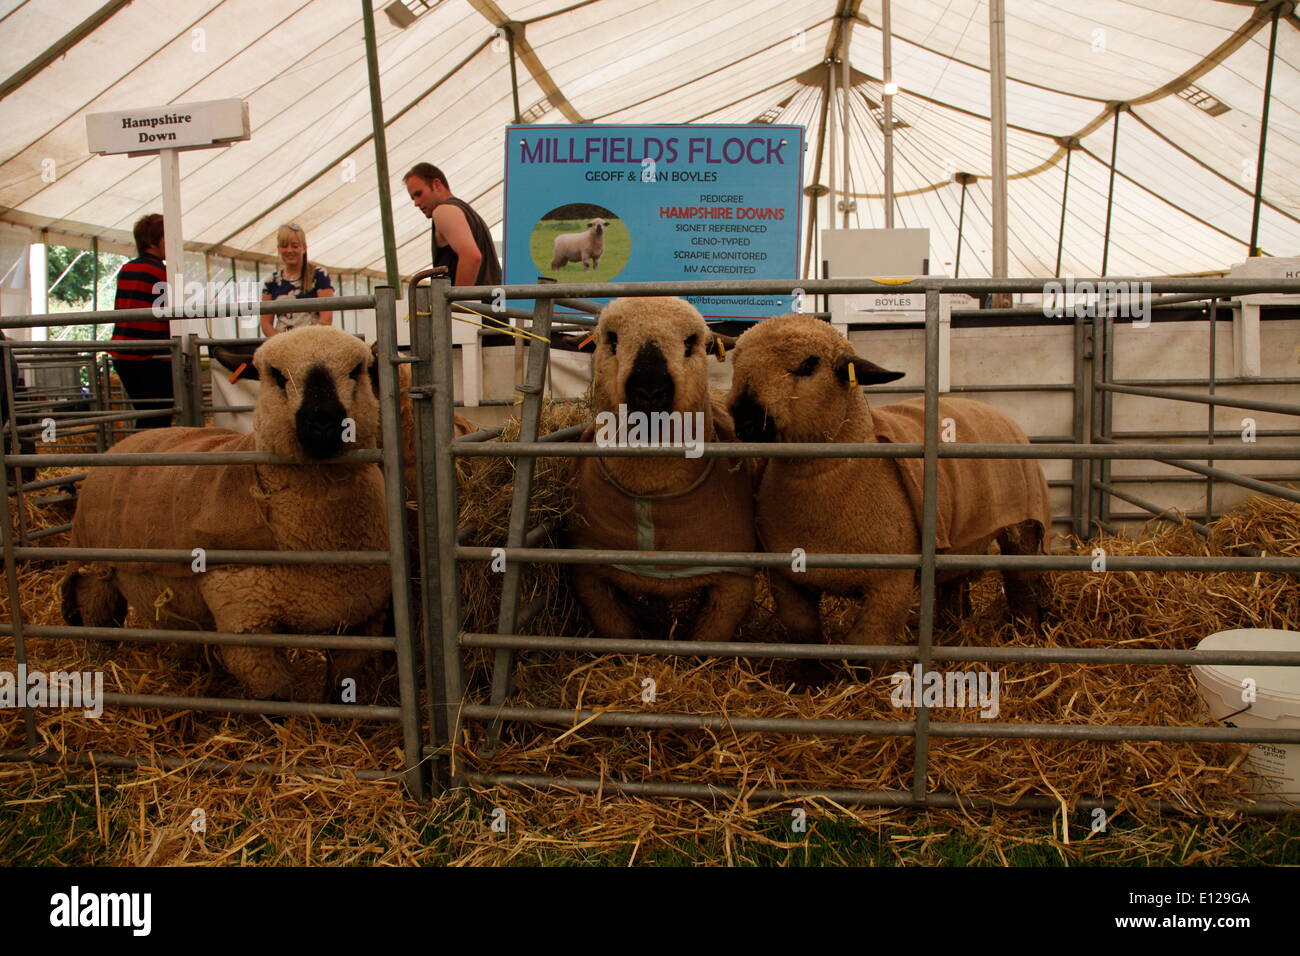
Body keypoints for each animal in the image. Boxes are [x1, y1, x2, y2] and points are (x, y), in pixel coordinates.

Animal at [61, 329, 392, 702]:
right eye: (276, 375)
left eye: (355, 371)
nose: (322, 422)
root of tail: (132, 439)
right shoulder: (245, 623)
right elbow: (276, 696)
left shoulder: (363, 618)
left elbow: (341, 687)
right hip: (95, 567)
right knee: (97, 613)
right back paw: (97, 665)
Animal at [564, 297, 759, 642]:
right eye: (611, 339)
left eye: (692, 342)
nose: (650, 392)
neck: (652, 489)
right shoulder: (588, 575)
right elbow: (618, 633)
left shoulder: (733, 582)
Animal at [728, 314, 1050, 650]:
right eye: (735, 364)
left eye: (808, 364)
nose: (745, 419)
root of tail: (983, 406)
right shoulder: (788, 580)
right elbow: (803, 633)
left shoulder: (891, 583)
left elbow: (865, 641)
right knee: (951, 583)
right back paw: (950, 629)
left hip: (1023, 524)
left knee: (1022, 582)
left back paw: (1027, 632)